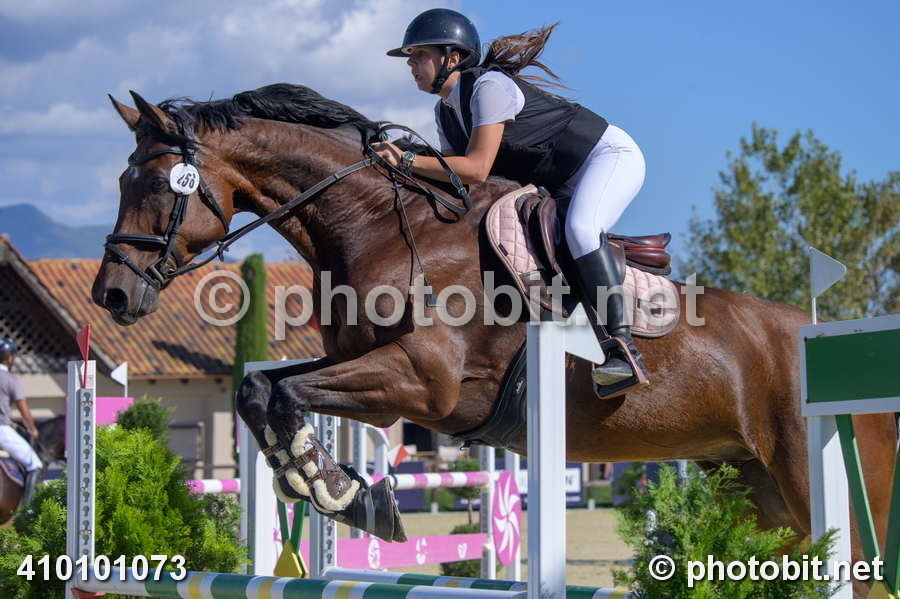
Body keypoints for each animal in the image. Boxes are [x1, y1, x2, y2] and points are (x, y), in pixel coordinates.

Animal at [91, 84, 896, 595]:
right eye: (122, 179)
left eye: (157, 184)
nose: (111, 295)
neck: (375, 224)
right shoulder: (364, 366)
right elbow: (263, 388)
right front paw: (336, 489)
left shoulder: (423, 384)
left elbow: (285, 392)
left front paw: (339, 489)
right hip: (758, 491)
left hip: (820, 478)